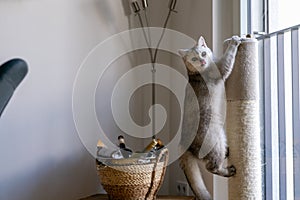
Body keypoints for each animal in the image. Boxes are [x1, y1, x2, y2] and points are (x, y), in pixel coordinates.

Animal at [178, 36, 241, 200]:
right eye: (194, 58)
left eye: (204, 53)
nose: (202, 61)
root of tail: (184, 143)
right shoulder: (222, 67)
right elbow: (229, 55)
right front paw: (235, 40)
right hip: (214, 142)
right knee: (211, 167)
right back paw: (229, 170)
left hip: (220, 137)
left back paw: (228, 151)